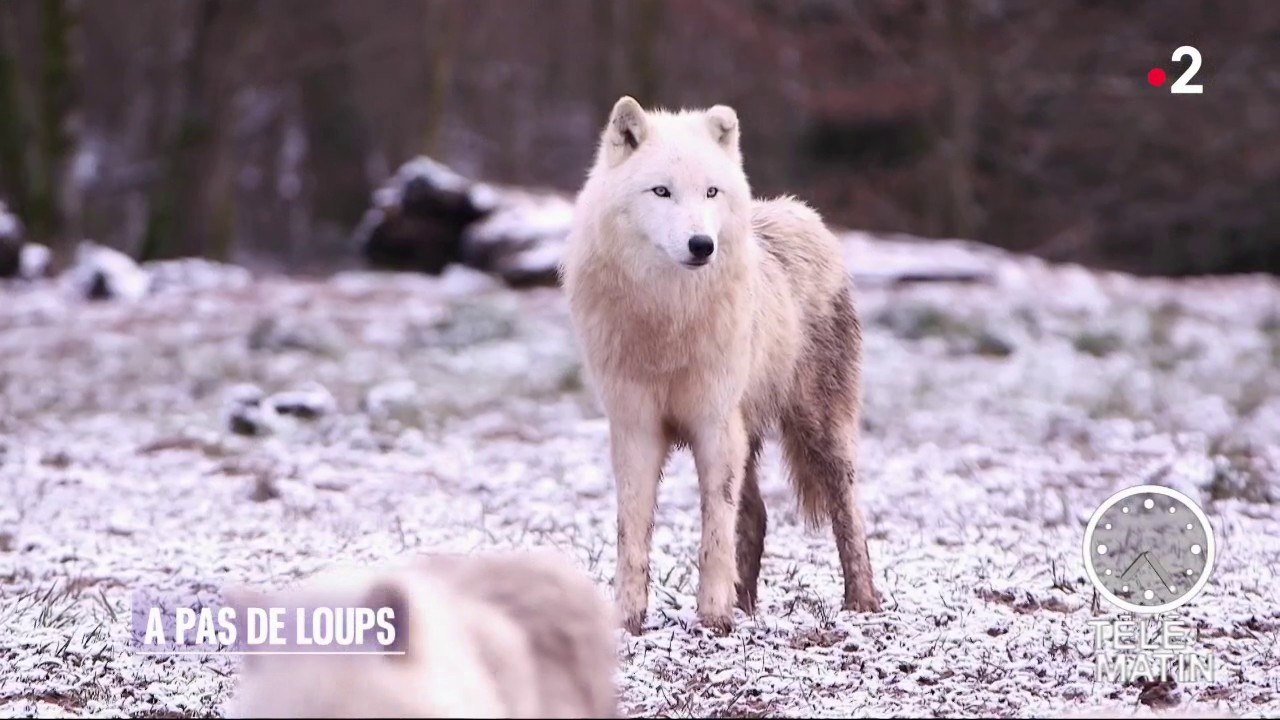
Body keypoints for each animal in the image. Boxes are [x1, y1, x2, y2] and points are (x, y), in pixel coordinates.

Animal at [561, 96, 881, 634]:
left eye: (711, 192)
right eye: (662, 191)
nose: (701, 245)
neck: (668, 319)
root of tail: (800, 211)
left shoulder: (713, 424)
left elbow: (714, 532)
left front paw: (712, 617)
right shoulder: (636, 428)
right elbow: (632, 534)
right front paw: (628, 618)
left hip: (818, 431)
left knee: (849, 515)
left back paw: (863, 603)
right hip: (748, 435)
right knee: (757, 516)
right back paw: (747, 605)